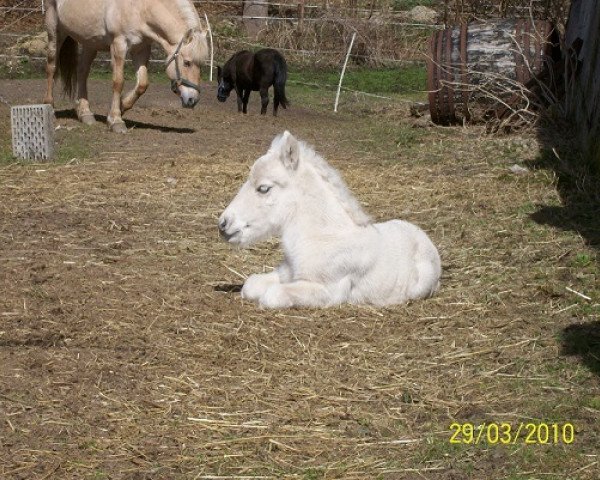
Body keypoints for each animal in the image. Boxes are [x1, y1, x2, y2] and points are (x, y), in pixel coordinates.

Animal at [44, 0, 209, 131]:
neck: (140, 7)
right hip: (55, 32)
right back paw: (49, 107)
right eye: (187, 62)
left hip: (90, 42)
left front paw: (122, 106)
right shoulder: (119, 45)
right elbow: (118, 82)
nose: (192, 100)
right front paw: (116, 121)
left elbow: (142, 84)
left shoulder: (141, 49)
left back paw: (85, 113)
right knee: (51, 68)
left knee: (82, 72)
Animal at [218, 131, 442, 310]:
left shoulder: (328, 290)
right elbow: (251, 284)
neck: (324, 238)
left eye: (263, 188)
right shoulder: (286, 273)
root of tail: (423, 237)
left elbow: (273, 294)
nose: (223, 224)